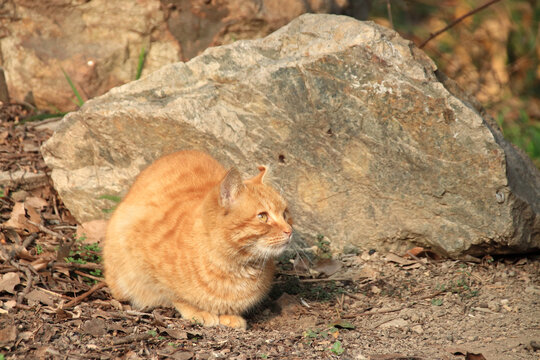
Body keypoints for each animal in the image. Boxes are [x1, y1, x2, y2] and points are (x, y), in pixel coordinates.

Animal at [103, 149, 294, 330]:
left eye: (285, 214)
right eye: (262, 217)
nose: (290, 231)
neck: (235, 267)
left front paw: (229, 315)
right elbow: (176, 296)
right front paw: (197, 311)